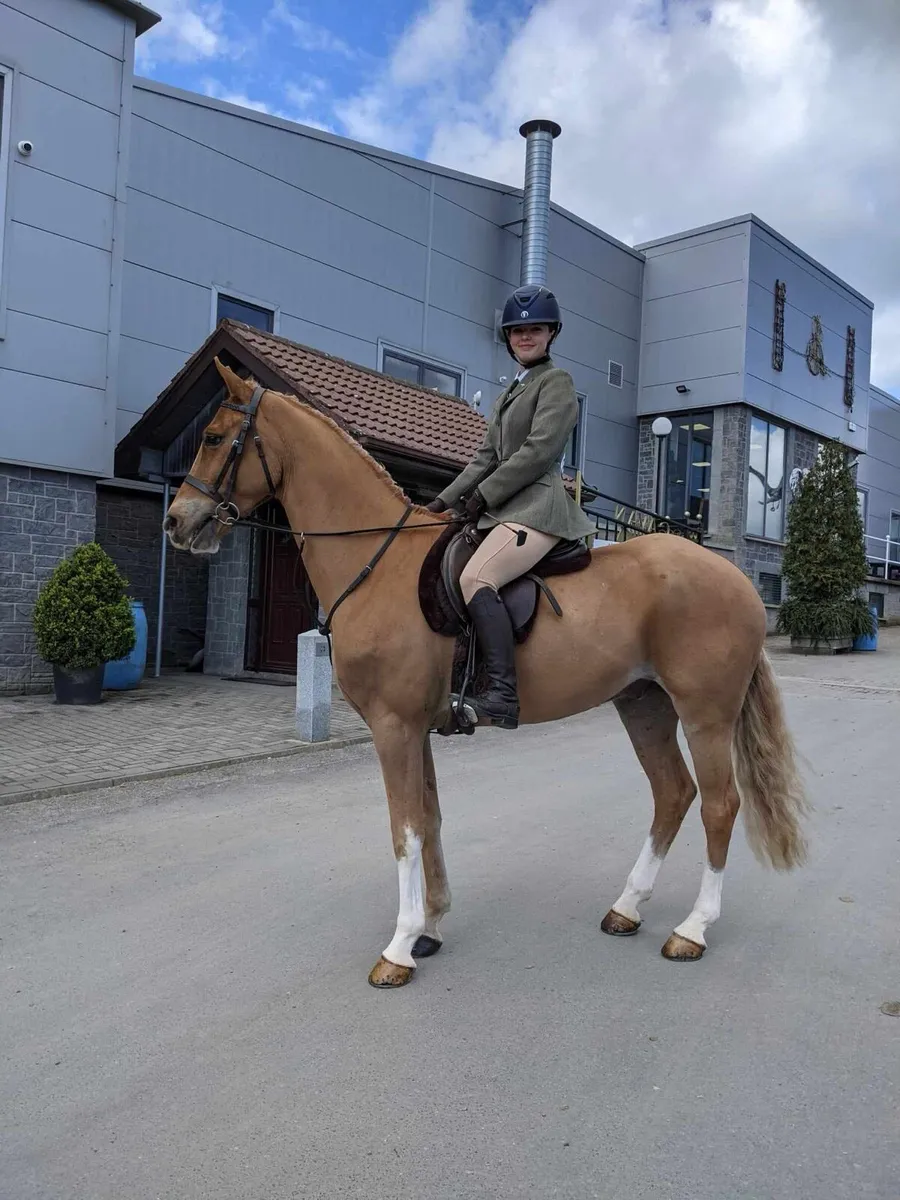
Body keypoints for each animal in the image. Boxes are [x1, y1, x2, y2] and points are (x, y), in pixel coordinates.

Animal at [163, 359, 809, 989]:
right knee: (672, 792)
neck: (378, 563)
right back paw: (627, 907)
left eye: (215, 438)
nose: (176, 522)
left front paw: (398, 948)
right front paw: (430, 928)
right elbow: (429, 818)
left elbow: (404, 828)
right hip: (643, 703)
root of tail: (738, 581)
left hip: (706, 715)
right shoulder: (415, 728)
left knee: (720, 805)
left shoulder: (393, 727)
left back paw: (692, 930)